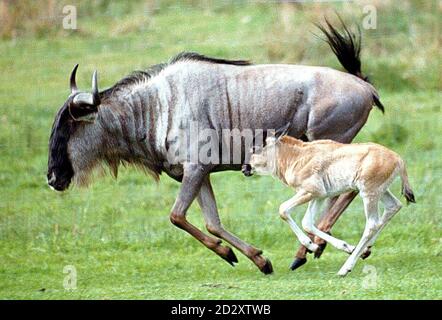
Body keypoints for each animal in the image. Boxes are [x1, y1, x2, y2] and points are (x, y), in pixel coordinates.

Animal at [247, 134, 416, 276]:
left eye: (256, 148)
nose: (245, 168)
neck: (296, 156)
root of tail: (398, 159)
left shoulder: (310, 191)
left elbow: (283, 209)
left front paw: (313, 246)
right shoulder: (318, 196)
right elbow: (307, 223)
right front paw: (336, 247)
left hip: (368, 193)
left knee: (372, 224)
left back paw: (345, 269)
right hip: (381, 191)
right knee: (394, 206)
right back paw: (364, 249)